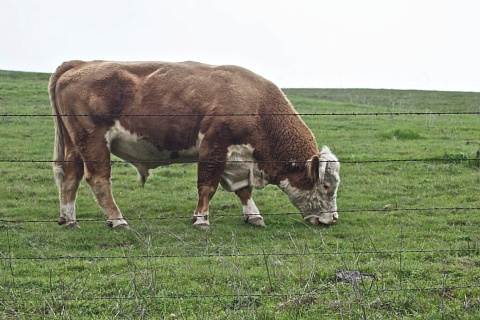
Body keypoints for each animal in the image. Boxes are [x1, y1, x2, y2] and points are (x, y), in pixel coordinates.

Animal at [49, 60, 342, 229]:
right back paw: (117, 219)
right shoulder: (214, 147)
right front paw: (201, 219)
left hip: (74, 145)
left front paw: (253, 216)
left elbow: (244, 191)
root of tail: (78, 64)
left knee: (70, 176)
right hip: (94, 142)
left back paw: (69, 219)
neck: (257, 105)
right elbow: (207, 186)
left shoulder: (238, 158)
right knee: (98, 179)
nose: (333, 219)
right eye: (326, 185)